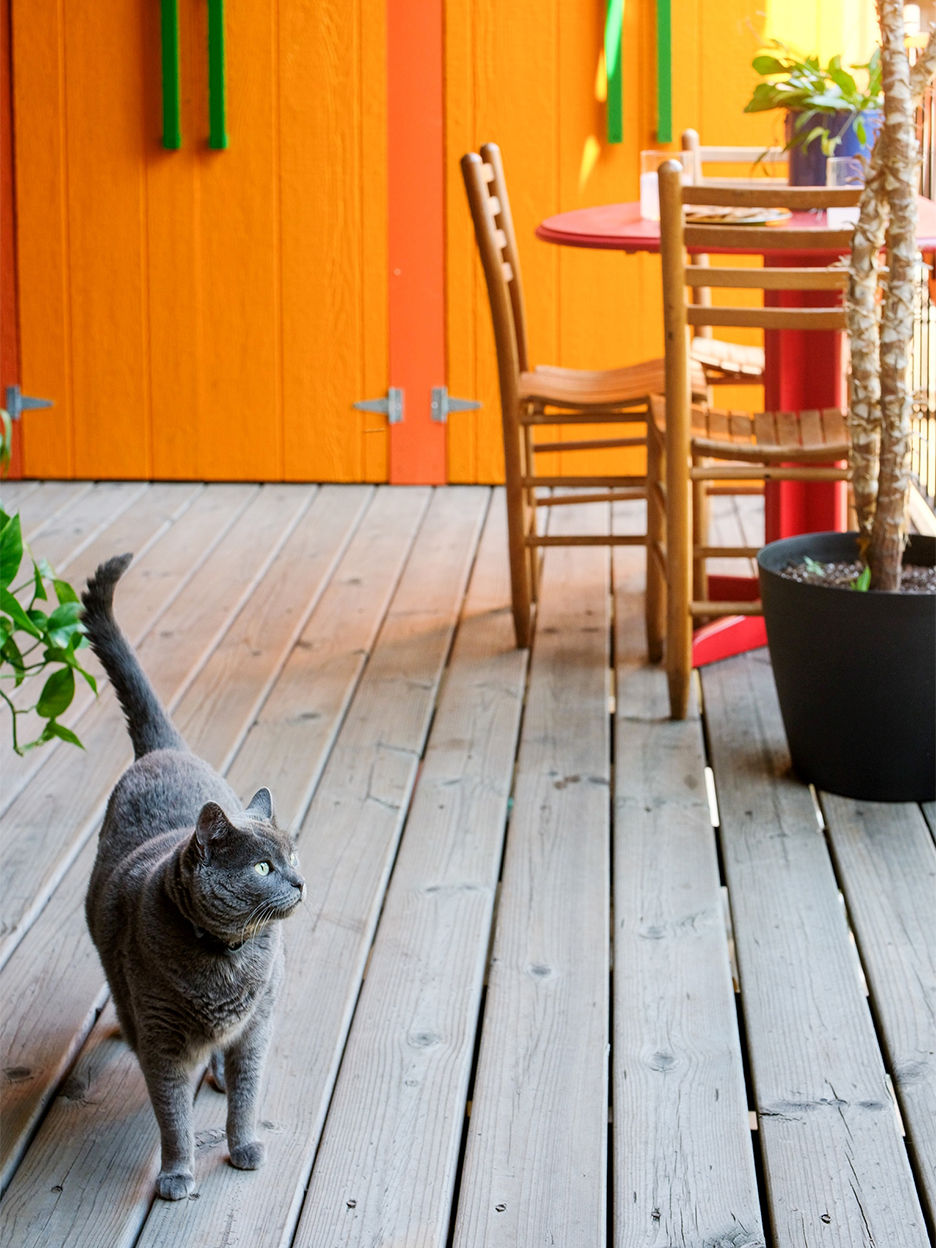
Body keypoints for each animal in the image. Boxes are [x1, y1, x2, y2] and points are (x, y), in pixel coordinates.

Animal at [81, 556, 305, 1198]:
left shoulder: (257, 1027)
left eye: (294, 857)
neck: (227, 957)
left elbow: (247, 1098)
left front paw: (244, 1146)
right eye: (263, 867)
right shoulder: (164, 1042)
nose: (299, 883)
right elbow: (173, 1117)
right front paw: (177, 1174)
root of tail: (163, 750)